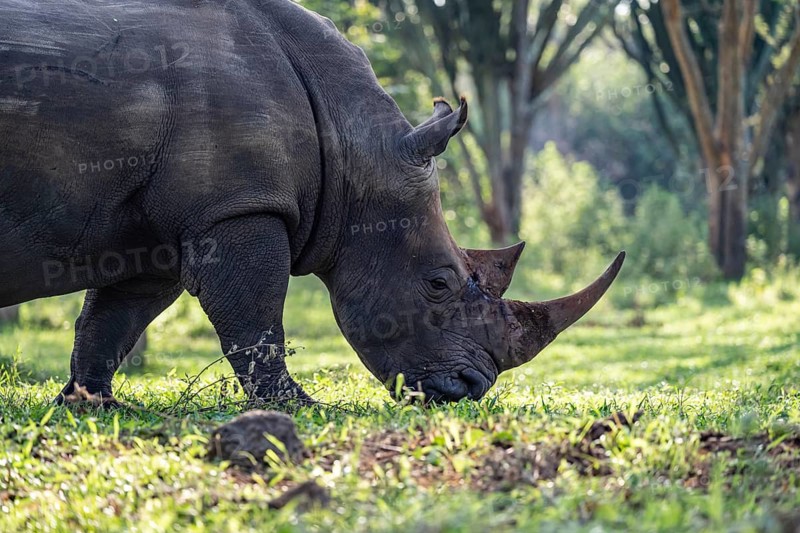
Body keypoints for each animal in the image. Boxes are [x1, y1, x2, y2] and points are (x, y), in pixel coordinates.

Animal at [0, 0, 624, 405]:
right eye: (438, 283)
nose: (470, 390)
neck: (353, 143)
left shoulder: (164, 224)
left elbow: (115, 314)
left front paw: (90, 403)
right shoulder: (241, 205)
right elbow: (253, 314)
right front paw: (298, 406)